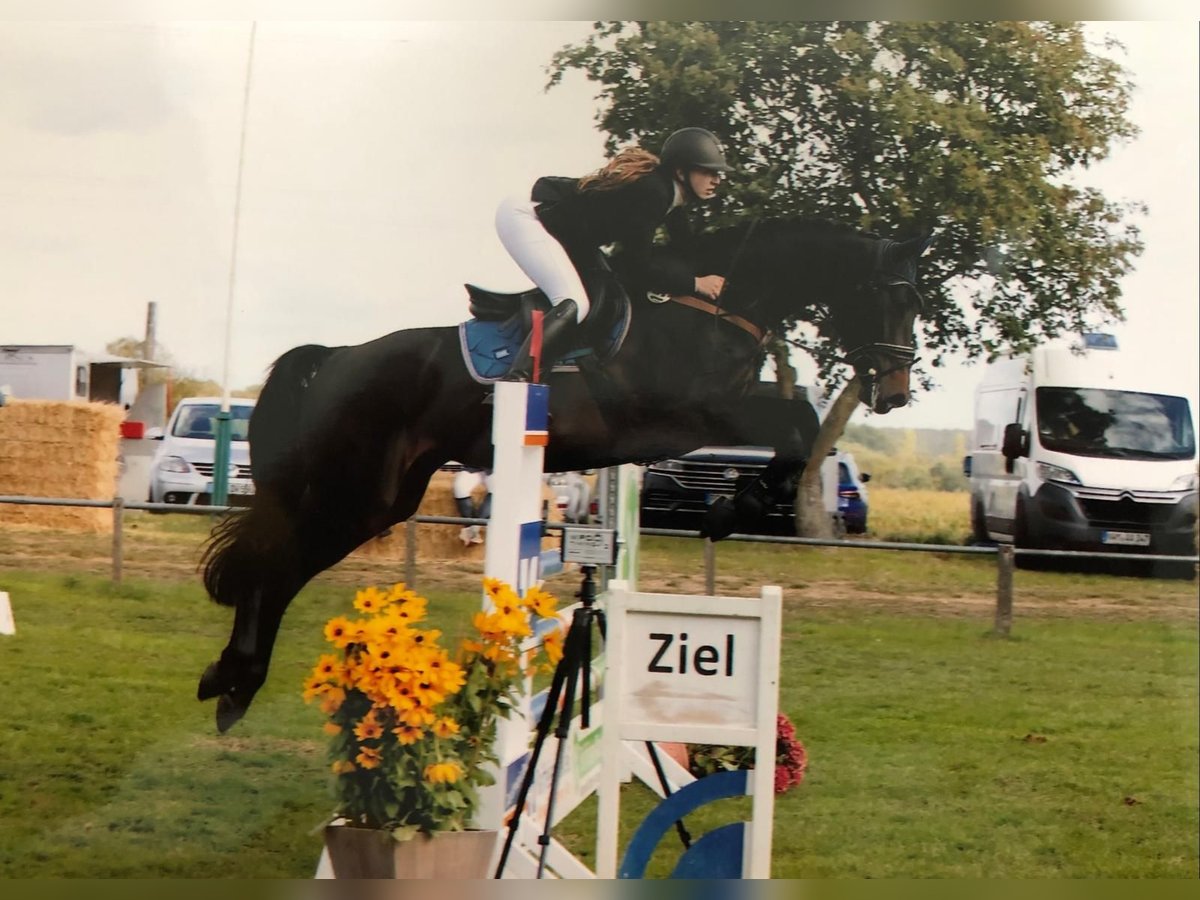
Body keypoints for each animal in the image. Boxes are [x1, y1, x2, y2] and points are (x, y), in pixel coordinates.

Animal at [196, 218, 931, 734]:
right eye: (891, 295)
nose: (896, 392)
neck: (717, 309)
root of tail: (339, 355)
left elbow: (796, 432)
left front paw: (736, 507)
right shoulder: (695, 415)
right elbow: (799, 425)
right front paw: (733, 509)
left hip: (384, 497)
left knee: (283, 562)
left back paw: (231, 684)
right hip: (354, 490)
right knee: (275, 562)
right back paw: (235, 681)